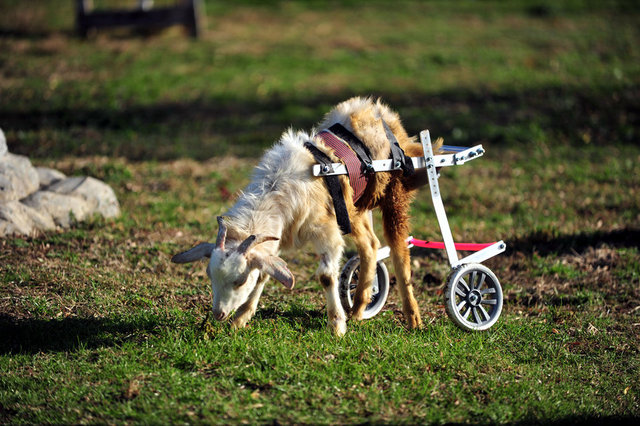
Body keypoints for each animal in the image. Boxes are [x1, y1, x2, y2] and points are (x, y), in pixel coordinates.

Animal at [172, 97, 435, 336]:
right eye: (210, 276)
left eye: (240, 281)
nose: (219, 314)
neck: (277, 186)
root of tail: (377, 109)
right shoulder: (277, 235)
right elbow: (266, 272)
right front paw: (241, 319)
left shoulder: (327, 231)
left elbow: (326, 277)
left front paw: (337, 325)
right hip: (355, 206)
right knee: (370, 244)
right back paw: (359, 308)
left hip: (394, 192)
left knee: (398, 248)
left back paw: (413, 318)